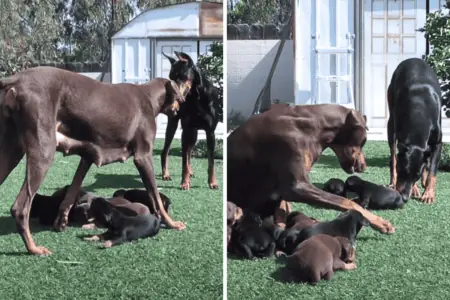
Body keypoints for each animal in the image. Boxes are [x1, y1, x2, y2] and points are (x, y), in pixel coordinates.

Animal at [0, 68, 187, 255]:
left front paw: (61, 222)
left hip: (11, 152)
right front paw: (172, 223)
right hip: (43, 152)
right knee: (20, 208)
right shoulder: (143, 156)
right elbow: (155, 197)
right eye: (178, 98)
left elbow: (71, 193)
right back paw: (33, 248)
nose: (180, 107)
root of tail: (17, 79)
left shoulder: (87, 158)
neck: (148, 96)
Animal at [161, 51, 222, 190]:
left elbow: (211, 161)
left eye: (180, 76)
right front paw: (184, 182)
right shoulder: (186, 129)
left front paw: (213, 182)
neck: (196, 96)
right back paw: (166, 174)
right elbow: (184, 161)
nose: (171, 97)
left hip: (193, 133)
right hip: (174, 125)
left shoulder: (210, 132)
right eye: (170, 77)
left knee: (189, 151)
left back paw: (190, 172)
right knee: (166, 150)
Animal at [229, 103, 394, 237]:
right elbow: (348, 202)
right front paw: (380, 222)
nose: (364, 166)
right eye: (364, 140)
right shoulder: (297, 186)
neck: (312, 126)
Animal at [386, 57, 442, 204]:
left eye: (416, 175)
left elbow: (432, 171)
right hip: (391, 122)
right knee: (393, 155)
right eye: (403, 171)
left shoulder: (437, 142)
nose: (404, 198)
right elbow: (396, 160)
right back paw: (393, 182)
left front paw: (428, 193)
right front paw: (415, 189)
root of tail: (412, 59)